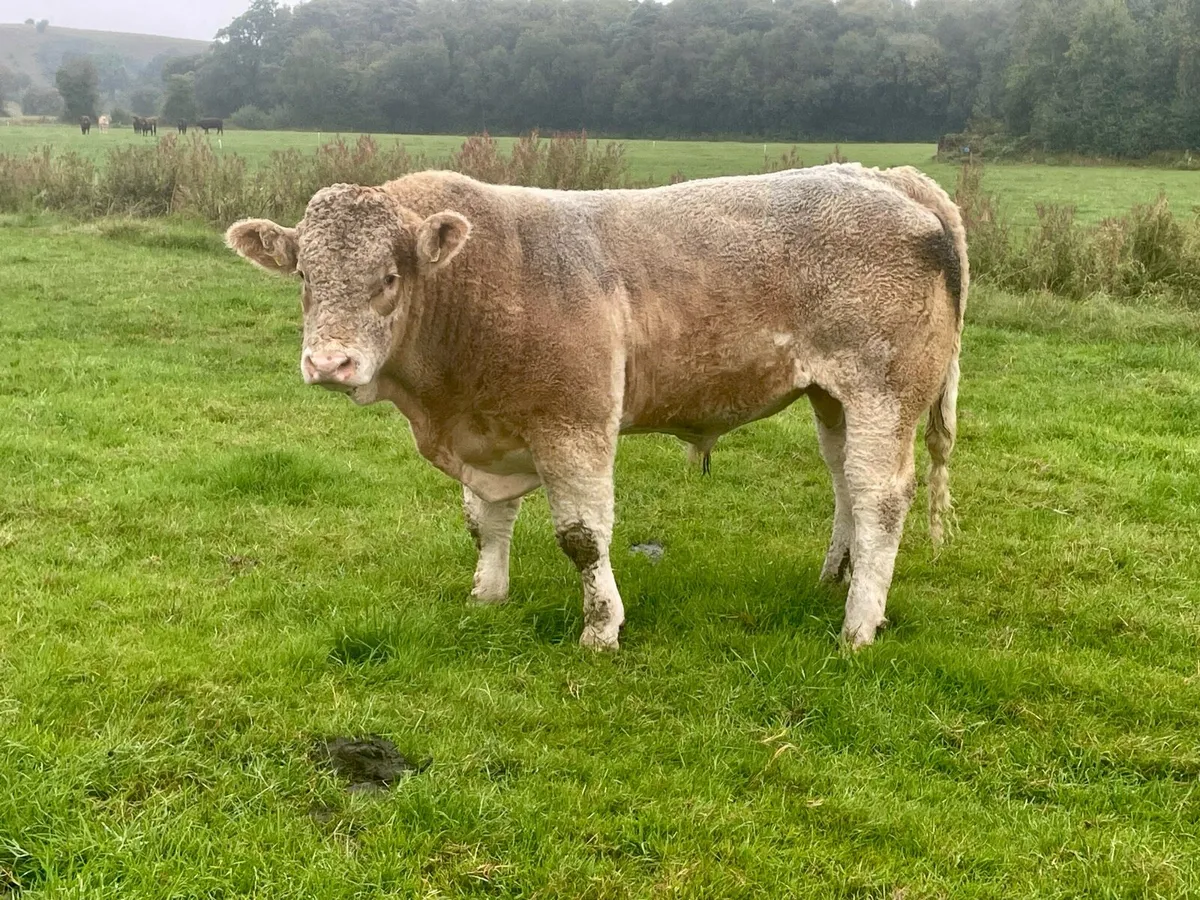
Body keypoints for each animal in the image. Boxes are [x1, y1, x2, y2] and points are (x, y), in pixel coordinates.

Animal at [224, 164, 968, 651]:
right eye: (303, 277)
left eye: (388, 278)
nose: (329, 364)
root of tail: (893, 179)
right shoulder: (488, 430)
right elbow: (485, 522)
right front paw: (486, 595)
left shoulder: (572, 421)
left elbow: (582, 537)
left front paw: (601, 628)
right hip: (832, 398)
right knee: (845, 482)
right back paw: (835, 579)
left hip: (882, 393)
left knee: (879, 496)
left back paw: (858, 624)